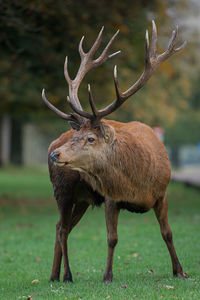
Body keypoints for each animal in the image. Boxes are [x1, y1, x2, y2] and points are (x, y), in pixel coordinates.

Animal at [41, 21, 188, 284]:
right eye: (77, 138)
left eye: (90, 138)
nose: (55, 155)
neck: (138, 182)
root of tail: (54, 140)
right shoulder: (111, 197)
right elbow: (112, 238)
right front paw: (107, 275)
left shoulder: (162, 193)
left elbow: (168, 233)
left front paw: (180, 270)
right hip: (62, 189)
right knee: (62, 228)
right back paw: (66, 275)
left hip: (82, 198)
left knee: (61, 227)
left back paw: (54, 275)